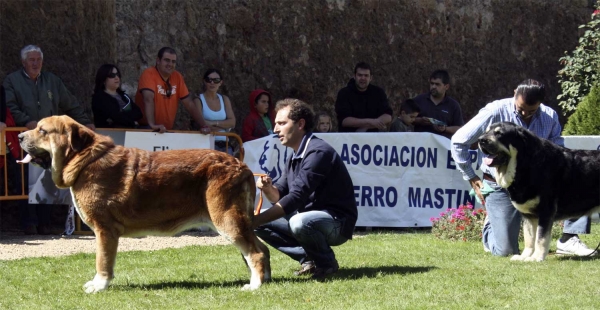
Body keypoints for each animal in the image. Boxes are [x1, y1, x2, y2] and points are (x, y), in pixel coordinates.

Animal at [17, 114, 270, 294]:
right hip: (238, 221)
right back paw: (265, 280)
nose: (19, 136)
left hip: (227, 219)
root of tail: (241, 165)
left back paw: (254, 286)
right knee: (263, 249)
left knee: (256, 252)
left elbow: (103, 261)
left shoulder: (104, 230)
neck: (84, 159)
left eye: (42, 130)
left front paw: (99, 286)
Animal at [478, 121, 600, 262]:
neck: (525, 165)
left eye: (499, 134)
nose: (480, 140)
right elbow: (529, 239)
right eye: (486, 131)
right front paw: (524, 256)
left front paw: (536, 258)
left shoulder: (545, 211)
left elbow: (540, 239)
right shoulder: (528, 216)